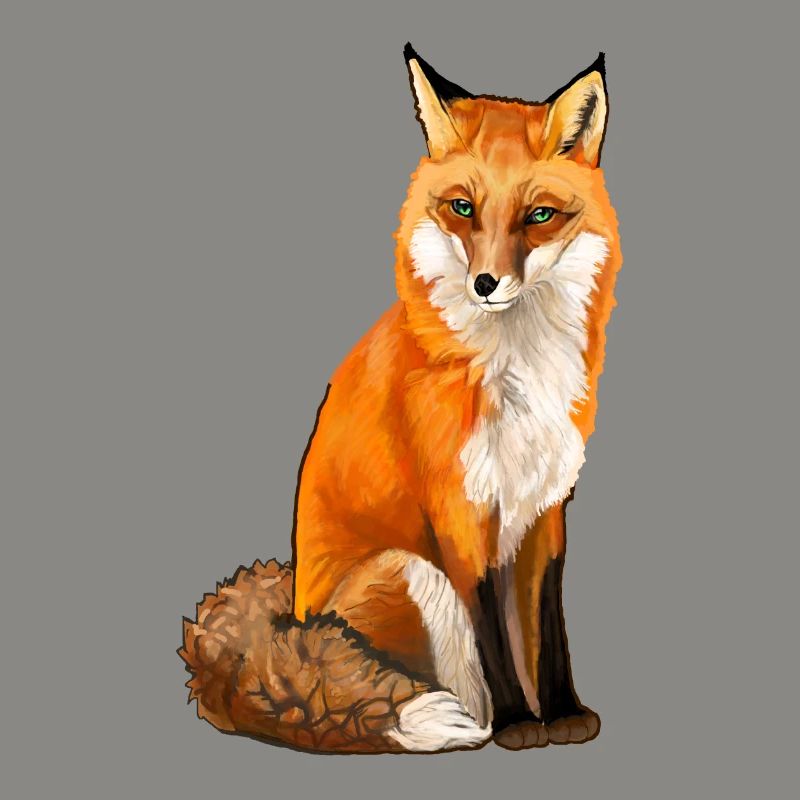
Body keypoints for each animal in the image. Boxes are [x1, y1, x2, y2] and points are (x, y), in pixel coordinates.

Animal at [181, 44, 622, 754]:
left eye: (539, 216)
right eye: (463, 208)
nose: (486, 283)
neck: (515, 370)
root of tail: (290, 617)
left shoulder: (545, 507)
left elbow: (548, 626)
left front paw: (562, 712)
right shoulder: (458, 511)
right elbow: (494, 635)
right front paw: (521, 724)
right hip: (411, 570)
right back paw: (472, 722)